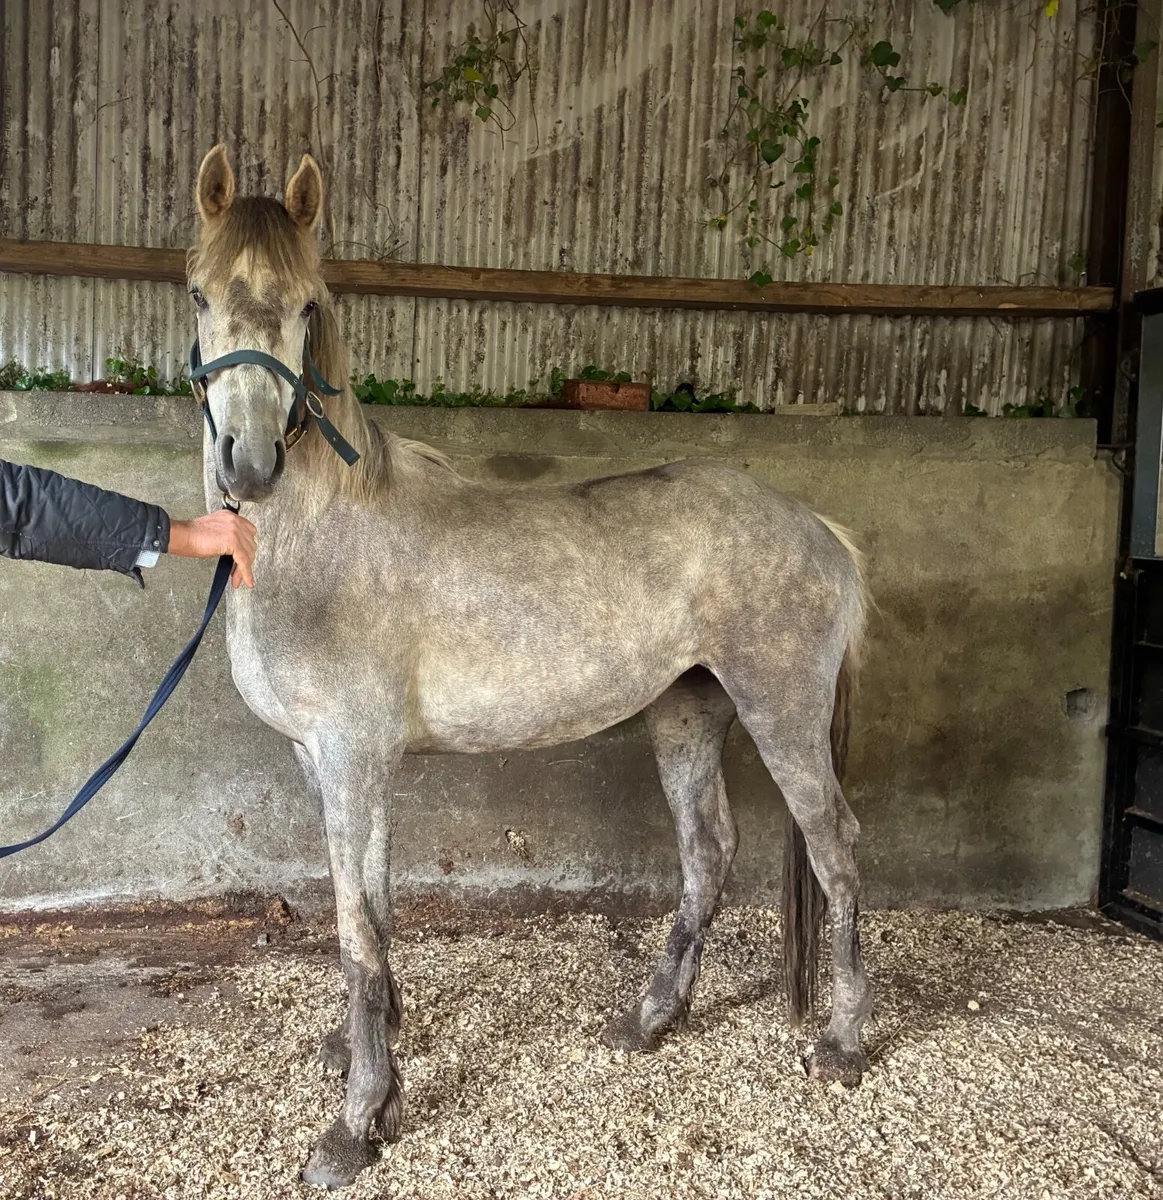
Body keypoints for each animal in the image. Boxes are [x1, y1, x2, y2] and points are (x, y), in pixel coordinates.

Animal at [186, 144, 872, 1189]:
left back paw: (841, 1044)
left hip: (779, 712)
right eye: (197, 294)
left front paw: (355, 1125)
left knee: (833, 848)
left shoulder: (351, 759)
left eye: (308, 306)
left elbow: (354, 932)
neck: (327, 538)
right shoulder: (332, 762)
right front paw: (369, 1062)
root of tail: (820, 528)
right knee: (707, 854)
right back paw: (648, 1020)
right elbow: (374, 910)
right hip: (686, 715)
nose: (250, 461)